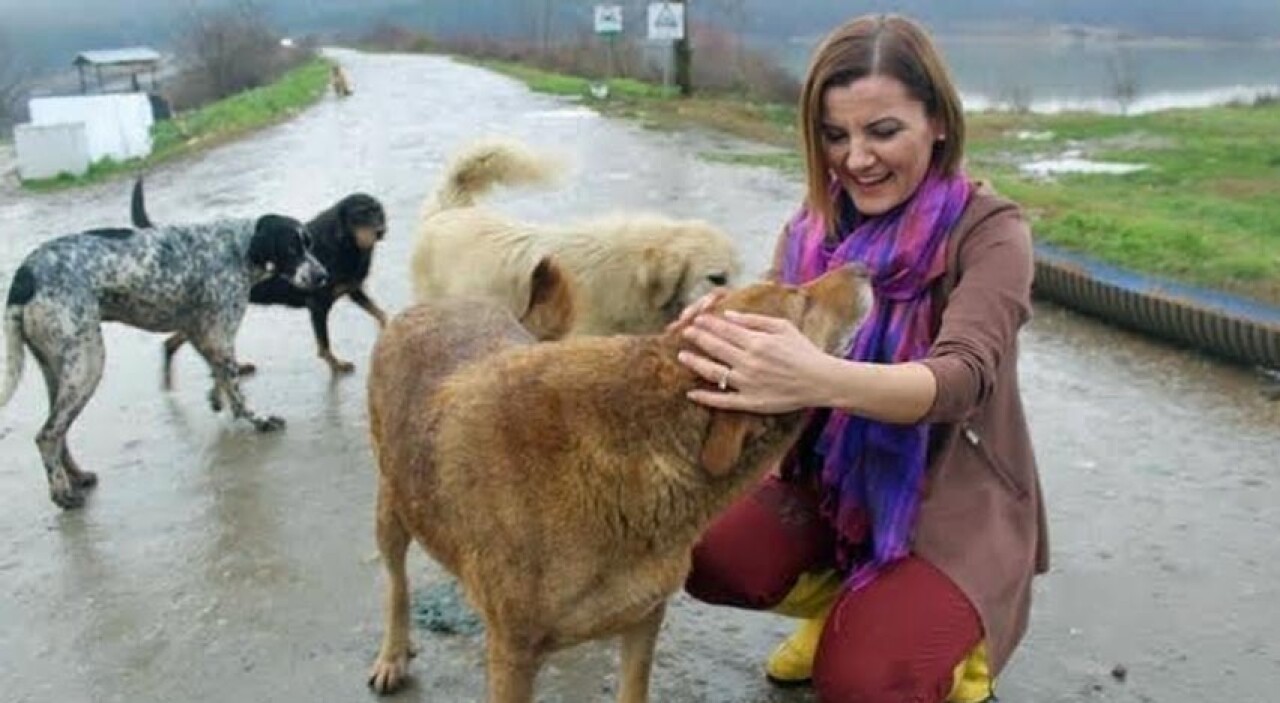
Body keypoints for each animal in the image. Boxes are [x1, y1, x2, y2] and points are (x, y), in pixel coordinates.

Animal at [131, 175, 389, 384]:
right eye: (360, 214)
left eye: (378, 211)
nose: (381, 231)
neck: (344, 243)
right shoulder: (317, 306)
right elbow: (323, 346)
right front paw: (337, 366)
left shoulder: (353, 290)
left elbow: (381, 313)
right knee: (183, 343)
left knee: (179, 343)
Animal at [366, 261, 875, 696]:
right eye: (799, 301)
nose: (865, 268)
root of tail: (435, 305)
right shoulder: (514, 653)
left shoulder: (645, 618)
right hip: (391, 511)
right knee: (396, 585)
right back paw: (393, 652)